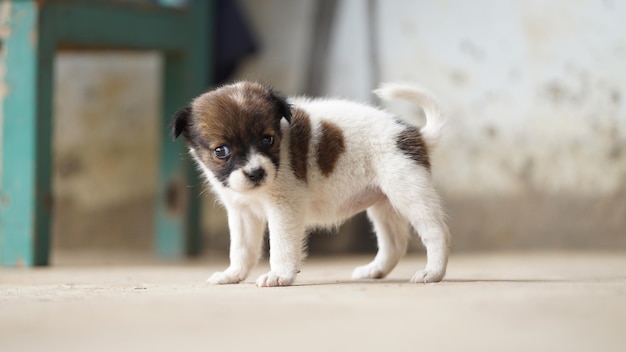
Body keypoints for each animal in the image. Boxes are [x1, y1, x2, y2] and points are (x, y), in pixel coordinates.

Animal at [172, 82, 448, 286]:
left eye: (267, 139)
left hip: (409, 193)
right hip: (384, 204)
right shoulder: (242, 212)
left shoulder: (284, 208)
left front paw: (279, 276)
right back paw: (374, 271)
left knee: (436, 233)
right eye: (221, 151)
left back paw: (432, 273)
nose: (256, 173)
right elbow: (241, 249)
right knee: (394, 244)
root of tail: (416, 135)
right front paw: (232, 275)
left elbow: (281, 246)